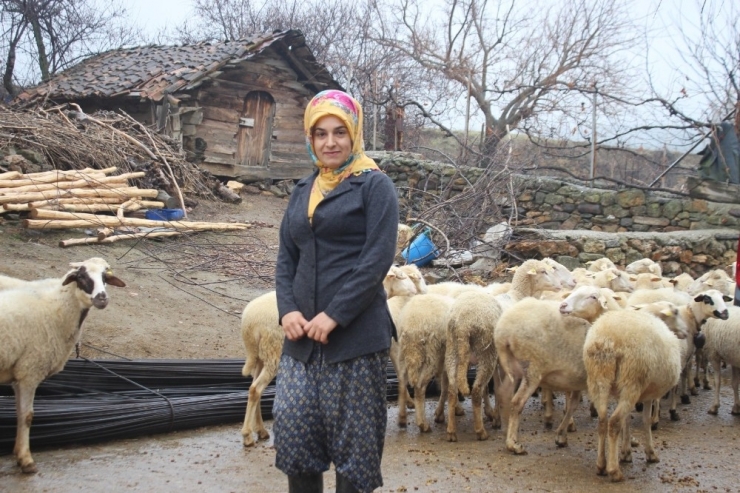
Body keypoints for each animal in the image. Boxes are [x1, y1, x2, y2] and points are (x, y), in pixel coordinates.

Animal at [0, 256, 125, 470]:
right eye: (81, 277)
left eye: (105, 277)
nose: (102, 298)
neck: (55, 307)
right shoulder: (30, 370)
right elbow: (27, 416)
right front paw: (26, 460)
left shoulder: (20, 373)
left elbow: (19, 414)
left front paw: (19, 453)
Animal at [584, 304, 688, 480]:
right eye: (675, 312)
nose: (687, 332)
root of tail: (608, 341)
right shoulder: (648, 395)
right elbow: (646, 420)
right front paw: (650, 453)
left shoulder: (620, 393)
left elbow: (627, 420)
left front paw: (626, 453)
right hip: (632, 379)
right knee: (614, 422)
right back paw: (614, 470)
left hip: (598, 378)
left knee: (603, 421)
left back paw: (601, 465)